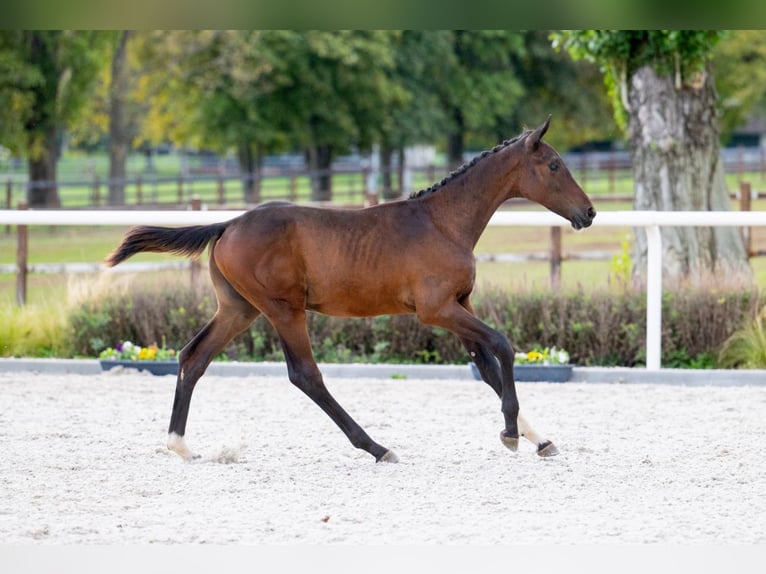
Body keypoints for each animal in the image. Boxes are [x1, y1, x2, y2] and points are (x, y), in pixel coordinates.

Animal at [103, 116, 592, 464]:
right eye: (554, 165)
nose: (588, 213)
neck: (443, 222)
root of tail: (227, 225)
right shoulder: (436, 310)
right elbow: (503, 346)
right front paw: (510, 434)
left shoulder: (459, 305)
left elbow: (487, 367)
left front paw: (540, 440)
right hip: (283, 309)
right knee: (305, 375)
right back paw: (377, 447)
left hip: (239, 309)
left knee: (194, 357)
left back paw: (180, 445)